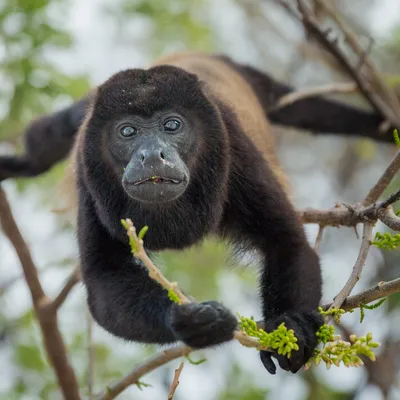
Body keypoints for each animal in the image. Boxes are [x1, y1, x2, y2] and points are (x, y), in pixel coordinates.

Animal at [0, 51, 394, 374]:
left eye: (172, 125)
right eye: (127, 131)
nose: (151, 154)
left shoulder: (235, 148)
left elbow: (286, 241)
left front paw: (292, 324)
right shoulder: (88, 174)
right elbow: (104, 279)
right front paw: (186, 322)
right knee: (64, 123)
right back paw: (26, 163)